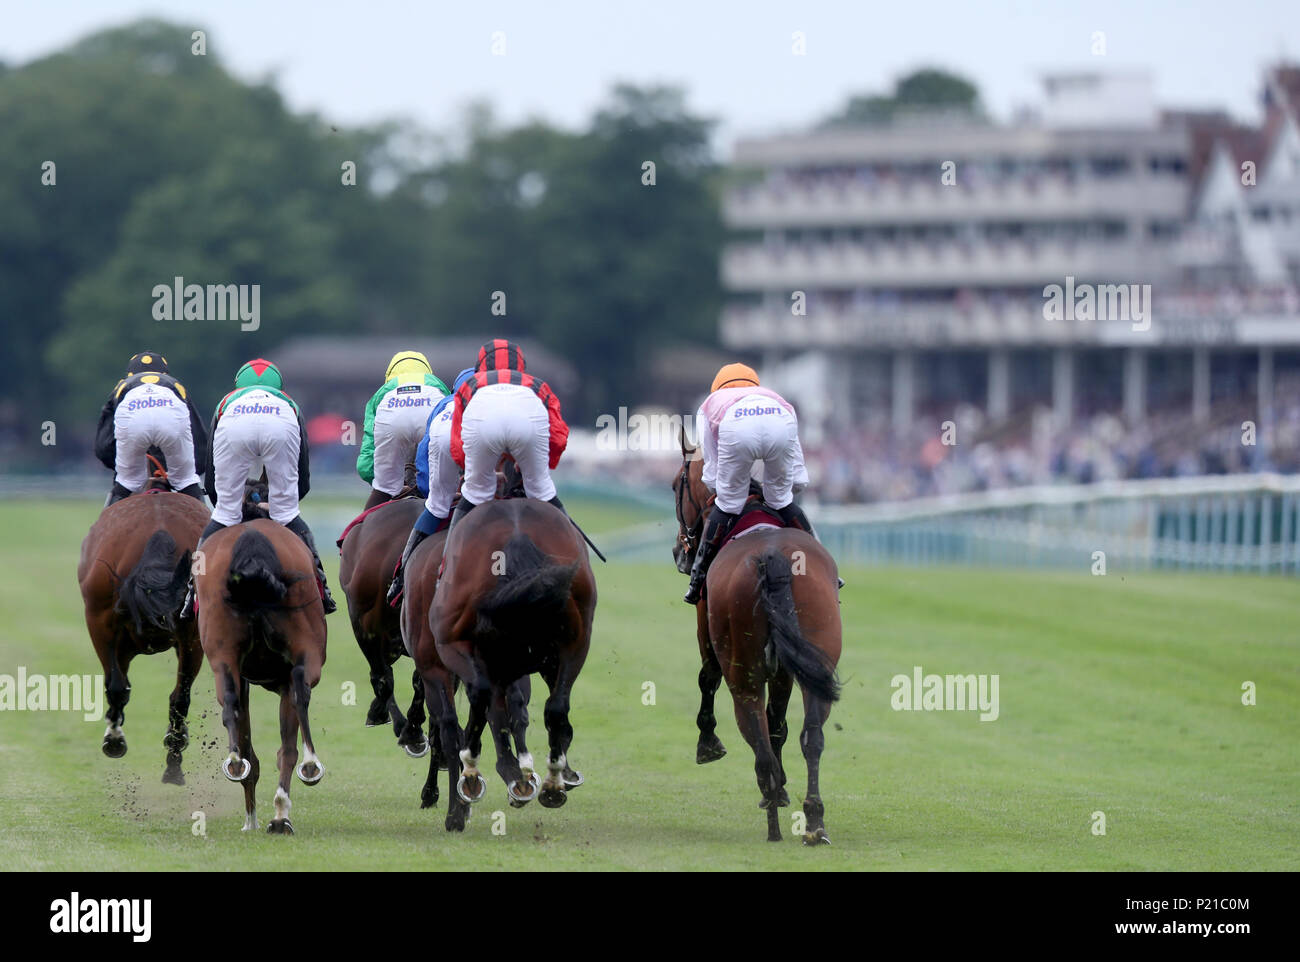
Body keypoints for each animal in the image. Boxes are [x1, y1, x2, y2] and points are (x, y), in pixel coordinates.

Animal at [77, 483, 208, 785]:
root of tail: (158, 527)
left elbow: (118, 683)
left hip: (100, 620)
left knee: (121, 686)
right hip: (189, 632)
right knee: (179, 696)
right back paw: (172, 755)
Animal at [198, 517, 330, 832]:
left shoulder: (245, 677)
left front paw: (251, 819)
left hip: (224, 657)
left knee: (233, 704)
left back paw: (239, 766)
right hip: (302, 650)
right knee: (298, 692)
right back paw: (302, 775)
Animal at [434, 496, 595, 826]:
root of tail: (516, 530)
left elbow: (491, 706)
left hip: (457, 643)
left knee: (482, 696)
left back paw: (473, 771)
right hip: (575, 642)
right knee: (556, 706)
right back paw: (552, 783)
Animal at [670, 439, 842, 847]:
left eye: (672, 485)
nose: (679, 552)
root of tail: (771, 555)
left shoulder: (706, 620)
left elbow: (707, 678)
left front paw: (707, 742)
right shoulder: (785, 670)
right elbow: (779, 723)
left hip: (742, 669)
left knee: (755, 732)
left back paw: (774, 812)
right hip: (817, 657)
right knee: (810, 734)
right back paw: (813, 820)